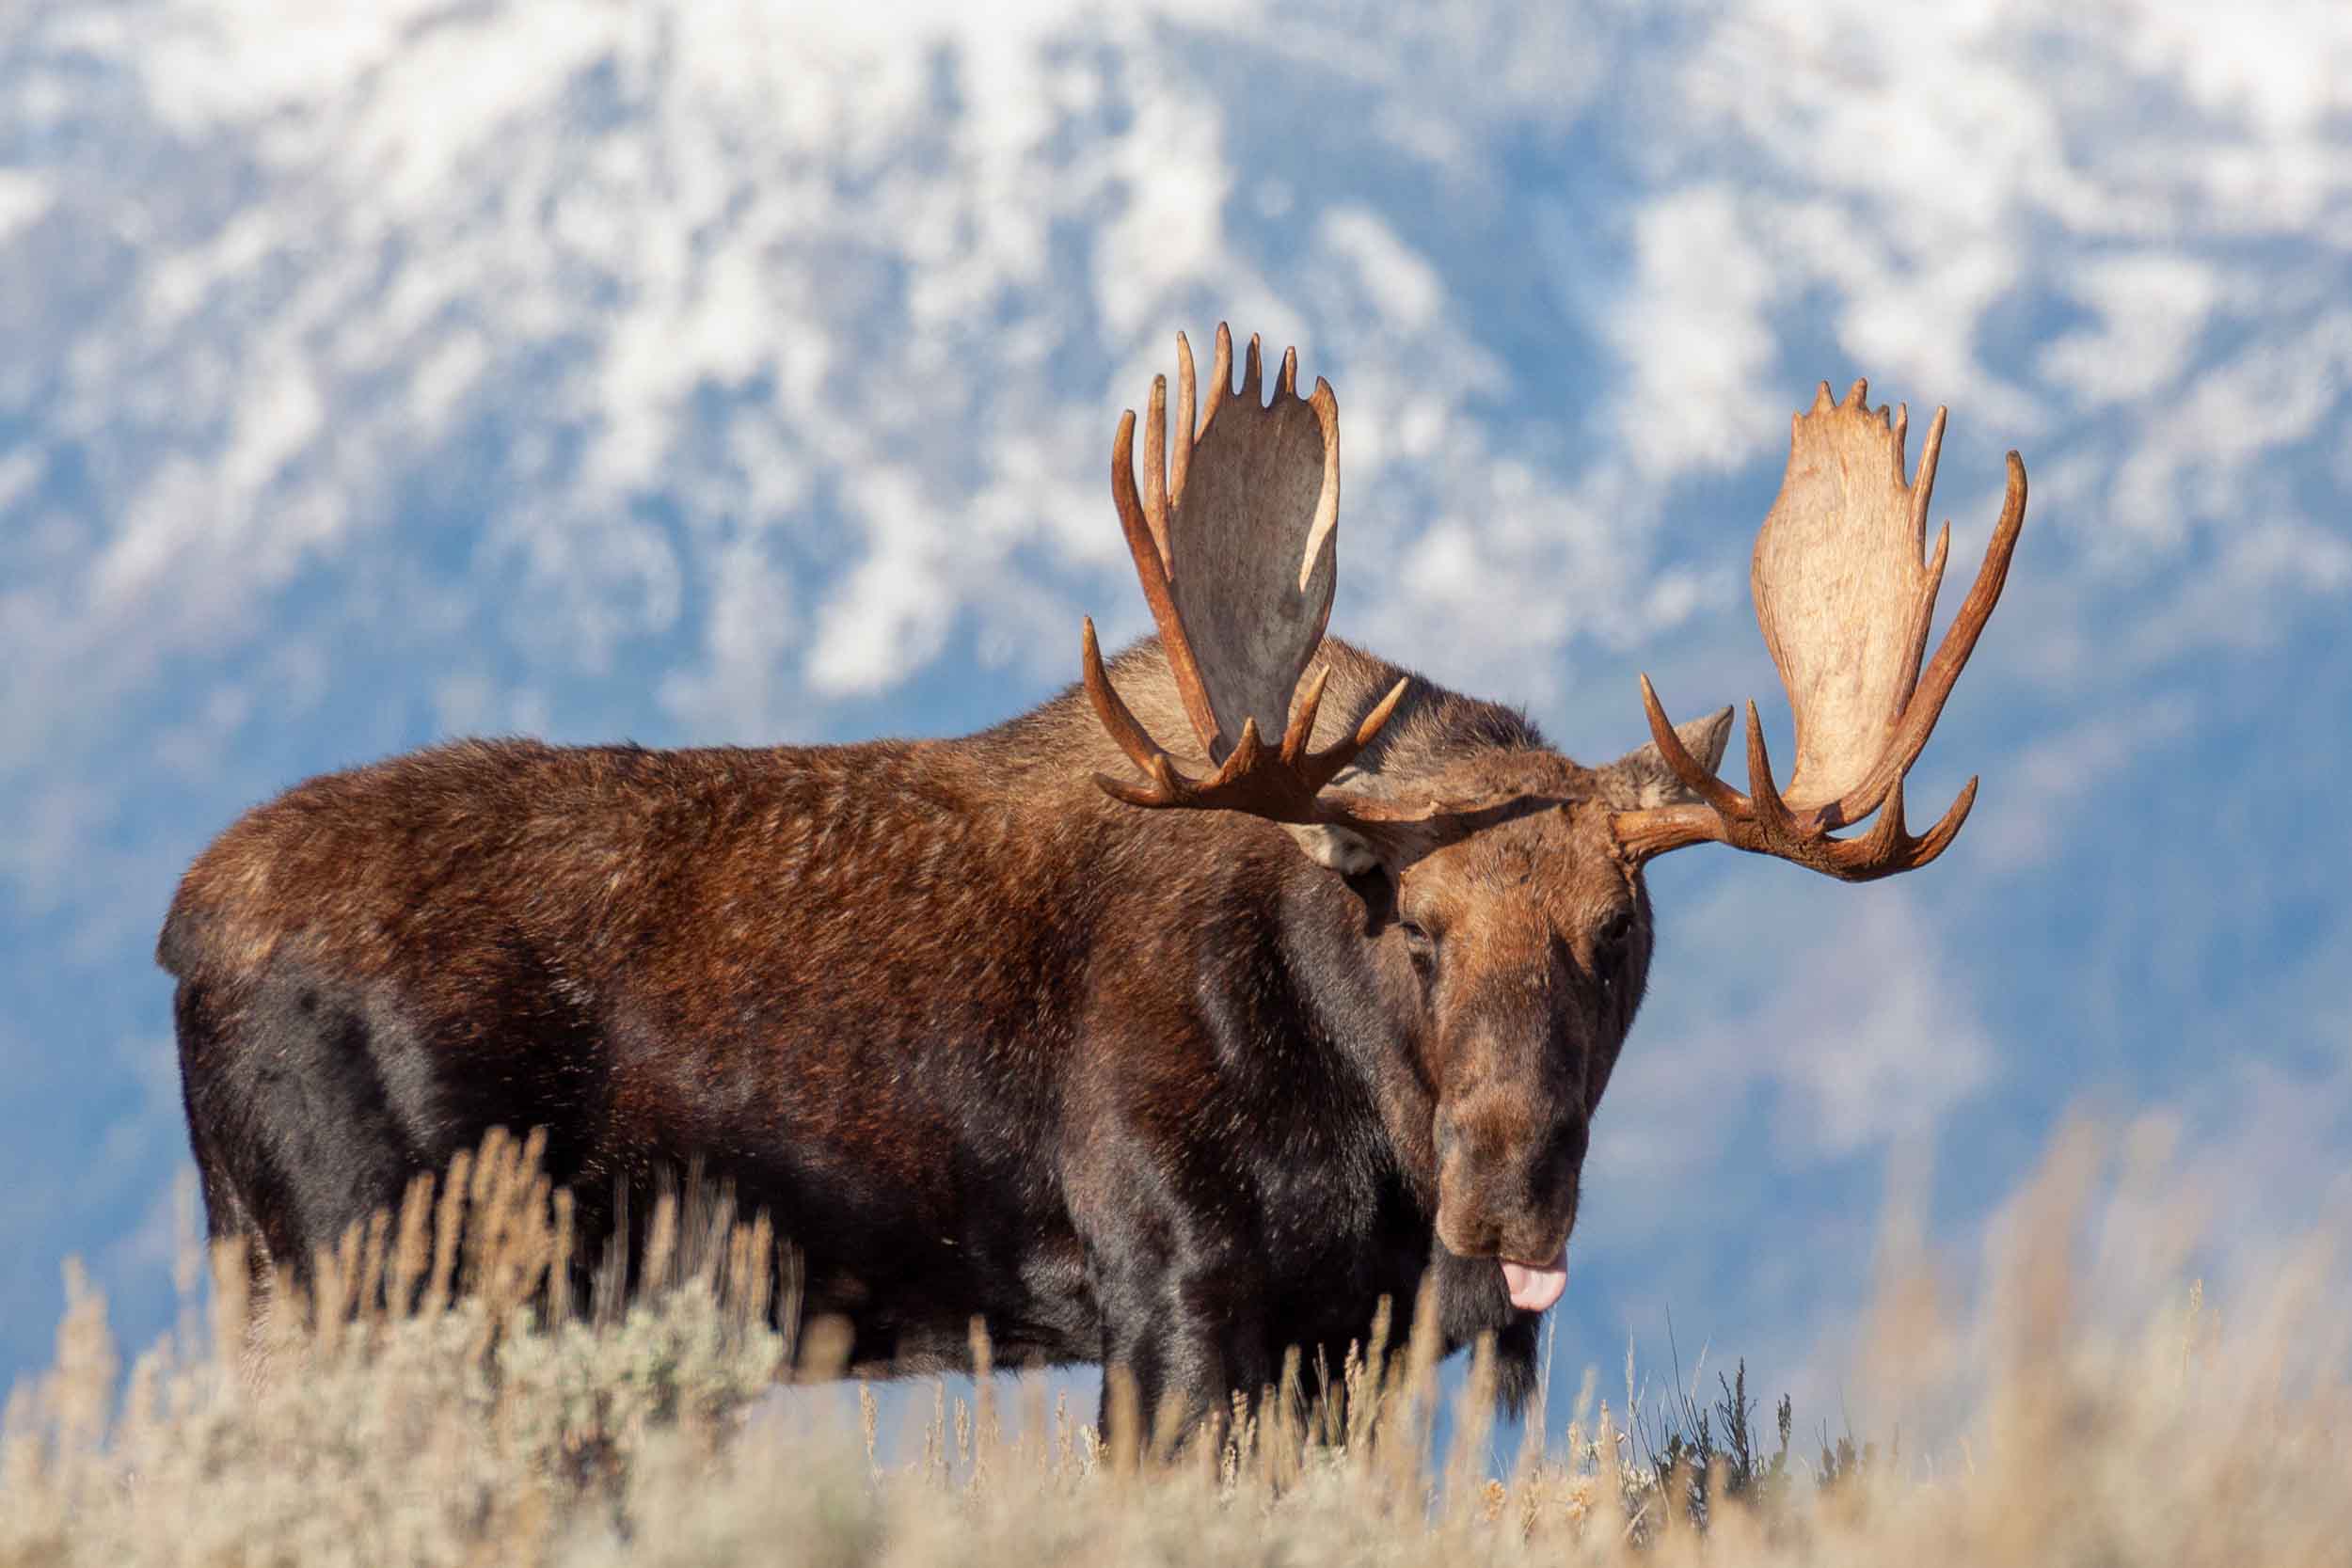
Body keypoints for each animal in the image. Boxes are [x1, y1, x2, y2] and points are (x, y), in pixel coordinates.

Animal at [160, 324, 2026, 1441]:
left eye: (1618, 932)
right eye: (1416, 927)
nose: (1507, 1198)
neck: (1359, 1115)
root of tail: (184, 929)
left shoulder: (1341, 1343)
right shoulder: (1174, 1296)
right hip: (376, 1270)